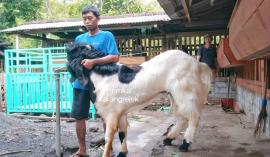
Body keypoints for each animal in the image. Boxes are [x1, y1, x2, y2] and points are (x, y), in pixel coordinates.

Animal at [67, 45, 211, 157]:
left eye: (73, 52)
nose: (67, 47)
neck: (103, 76)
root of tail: (197, 64)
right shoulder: (121, 112)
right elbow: (122, 133)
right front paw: (123, 153)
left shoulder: (111, 114)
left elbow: (109, 136)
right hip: (174, 95)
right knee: (182, 117)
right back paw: (169, 139)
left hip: (185, 92)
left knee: (193, 117)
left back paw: (185, 144)